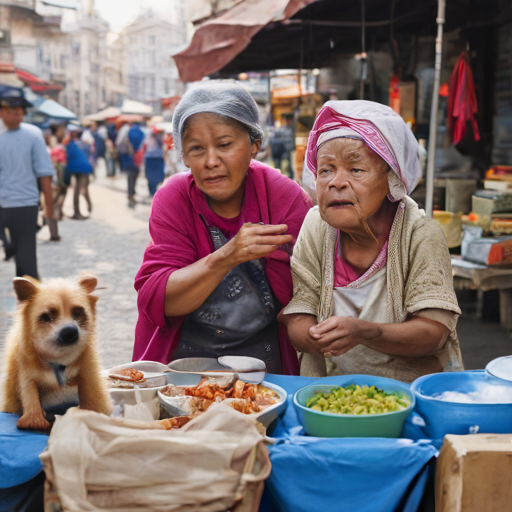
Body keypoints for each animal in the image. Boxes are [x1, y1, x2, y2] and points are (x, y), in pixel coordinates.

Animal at [0, 274, 112, 430]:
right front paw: (33, 421)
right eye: (46, 317)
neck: (58, 360)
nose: (70, 332)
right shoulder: (25, 373)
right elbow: (29, 392)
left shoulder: (87, 374)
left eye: (77, 313)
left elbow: (90, 395)